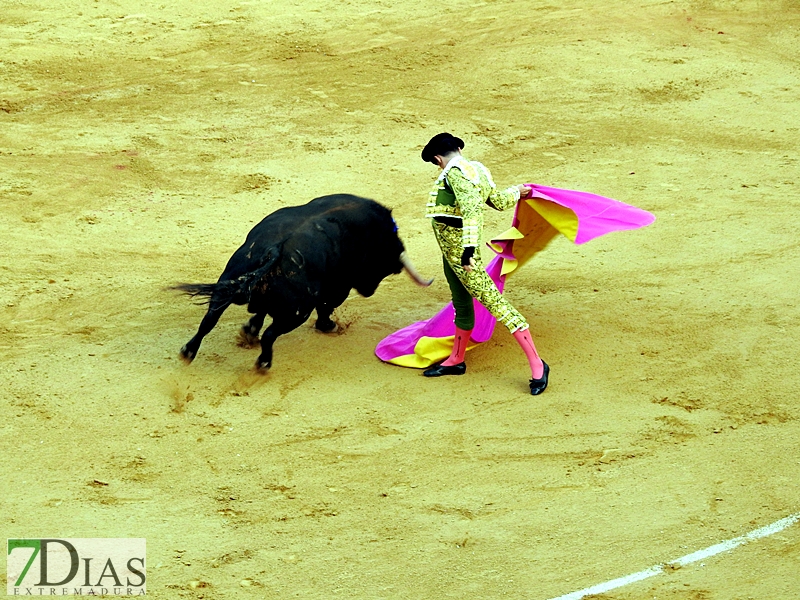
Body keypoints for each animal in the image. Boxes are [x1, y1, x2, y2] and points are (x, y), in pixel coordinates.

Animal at [170, 193, 432, 370]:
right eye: (383, 267)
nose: (369, 291)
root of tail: (274, 249)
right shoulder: (338, 287)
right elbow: (326, 307)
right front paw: (328, 326)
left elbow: (259, 312)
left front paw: (249, 330)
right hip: (298, 311)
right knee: (270, 334)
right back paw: (263, 364)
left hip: (226, 285)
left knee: (209, 320)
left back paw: (188, 351)